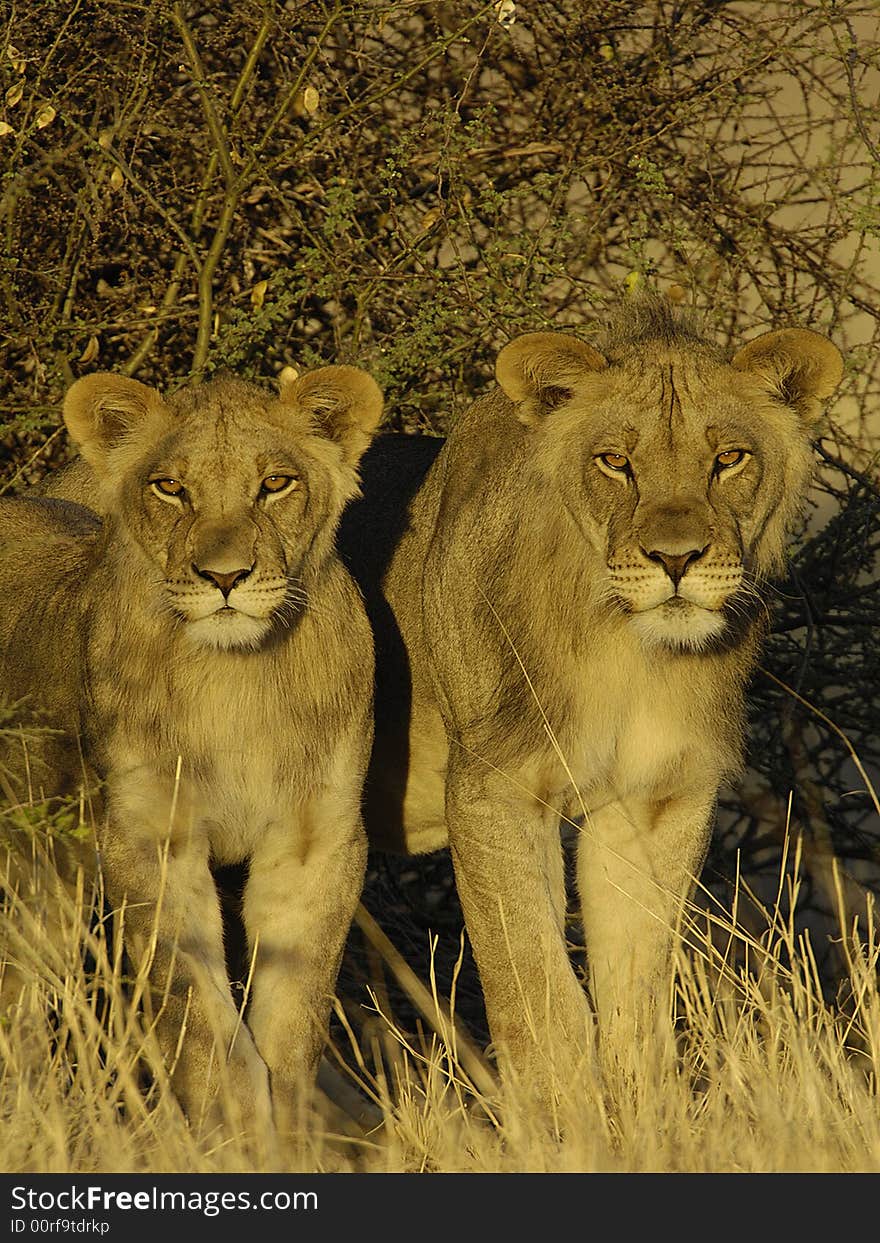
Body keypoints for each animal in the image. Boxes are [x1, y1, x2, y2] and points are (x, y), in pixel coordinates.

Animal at [0, 365, 380, 1138]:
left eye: (276, 483)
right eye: (171, 487)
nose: (225, 577)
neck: (236, 682)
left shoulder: (318, 841)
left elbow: (293, 1022)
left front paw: (290, 1136)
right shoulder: (150, 840)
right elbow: (201, 1021)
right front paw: (234, 1136)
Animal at [333, 298, 840, 1108]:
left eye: (729, 458)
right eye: (615, 462)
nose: (675, 560)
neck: (631, 656)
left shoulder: (657, 800)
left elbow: (635, 997)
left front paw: (645, 1116)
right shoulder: (493, 790)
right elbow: (538, 991)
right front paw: (563, 1115)